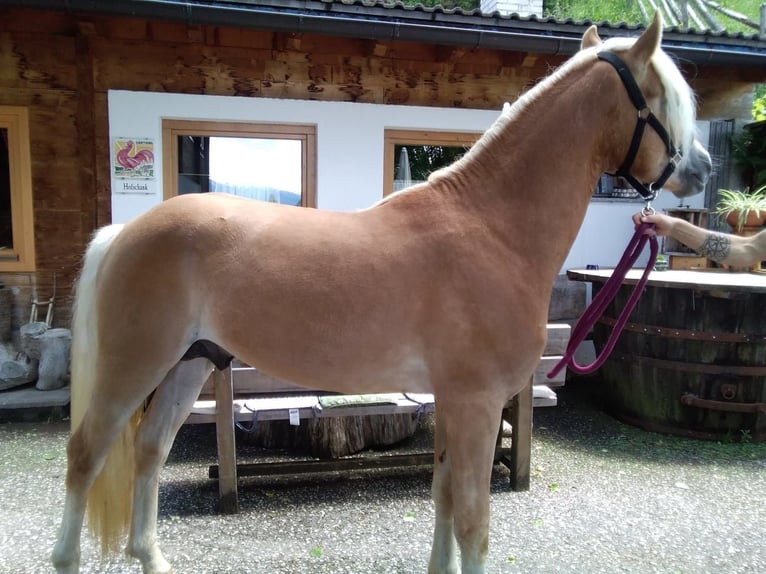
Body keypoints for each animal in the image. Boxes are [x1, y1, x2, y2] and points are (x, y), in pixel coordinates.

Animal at [54, 13, 712, 574]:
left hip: (189, 365)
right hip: (133, 366)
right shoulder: (476, 403)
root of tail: (124, 232)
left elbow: (443, 499)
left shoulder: (453, 402)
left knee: (150, 449)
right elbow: (473, 524)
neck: (491, 227)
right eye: (663, 99)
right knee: (86, 454)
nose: (702, 169)